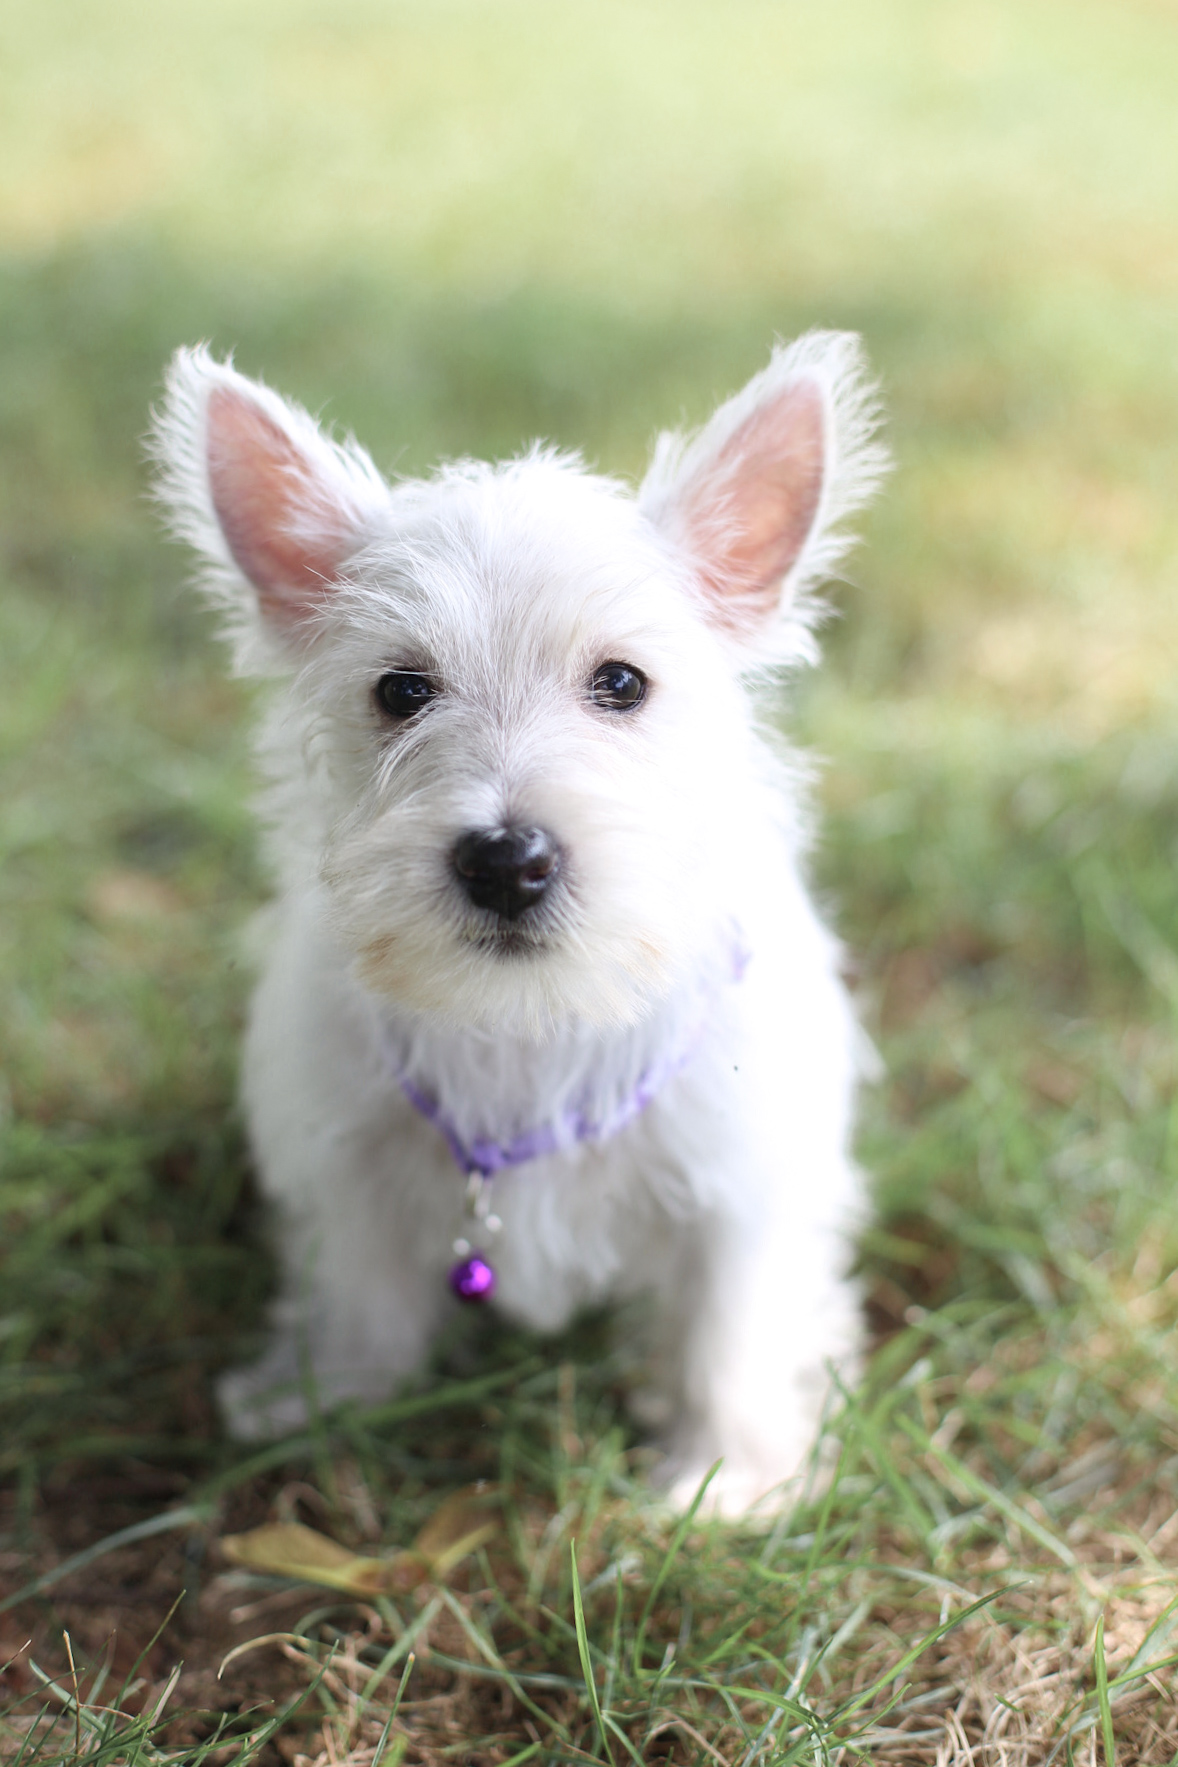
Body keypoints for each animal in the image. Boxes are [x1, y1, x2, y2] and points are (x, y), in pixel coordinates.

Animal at [154, 337, 883, 1512]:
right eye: (402, 690)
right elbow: (360, 1295)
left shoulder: (741, 1186)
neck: (530, 1019)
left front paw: (723, 1482)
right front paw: (323, 1398)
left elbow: (727, 1332)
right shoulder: (349, 1165)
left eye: (621, 683)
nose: (507, 860)